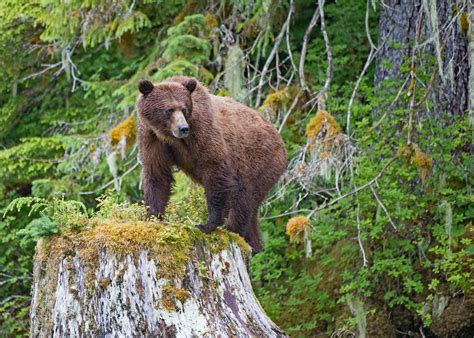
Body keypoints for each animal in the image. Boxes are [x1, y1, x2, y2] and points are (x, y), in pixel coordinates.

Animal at [135, 76, 286, 251]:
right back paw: (254, 243)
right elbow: (157, 174)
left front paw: (206, 225)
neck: (169, 136)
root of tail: (278, 135)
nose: (183, 128)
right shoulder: (152, 137)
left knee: (245, 196)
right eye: (169, 110)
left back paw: (232, 228)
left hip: (260, 160)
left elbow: (215, 169)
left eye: (184, 109)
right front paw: (152, 216)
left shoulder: (203, 131)